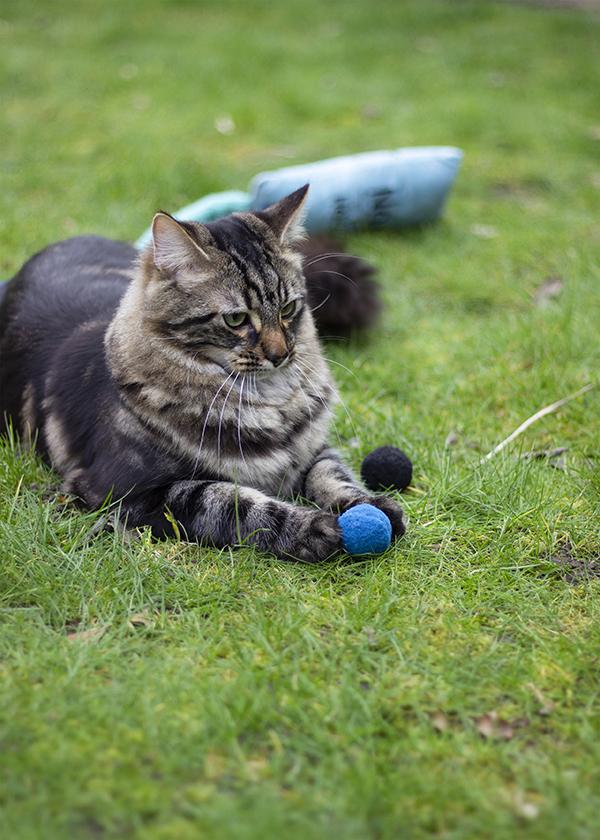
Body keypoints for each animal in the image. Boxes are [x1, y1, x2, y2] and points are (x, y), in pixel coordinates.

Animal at [0, 187, 406, 560]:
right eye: (237, 319)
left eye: (288, 309)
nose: (280, 355)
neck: (267, 401)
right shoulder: (134, 490)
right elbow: (235, 503)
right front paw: (310, 528)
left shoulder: (313, 449)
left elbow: (333, 475)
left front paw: (372, 507)